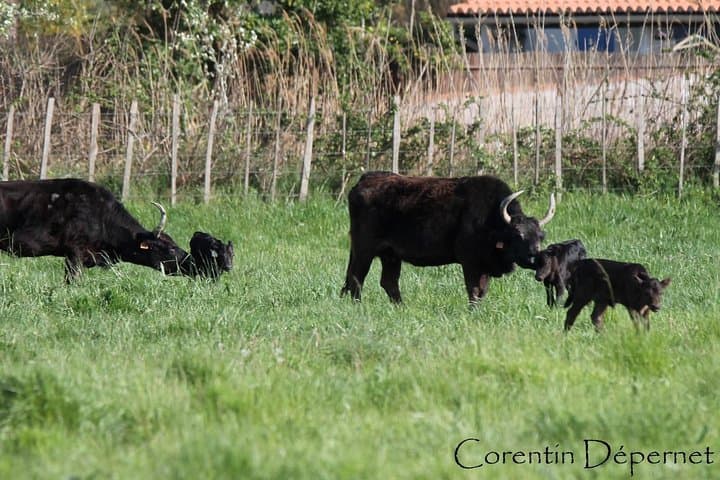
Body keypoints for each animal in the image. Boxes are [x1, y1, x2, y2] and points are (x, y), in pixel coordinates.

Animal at [340, 172, 556, 304]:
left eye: (541, 236)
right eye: (518, 235)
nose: (534, 258)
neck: (491, 220)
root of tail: (363, 181)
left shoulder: (484, 266)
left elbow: (482, 292)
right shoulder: (470, 263)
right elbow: (474, 290)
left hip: (390, 255)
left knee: (388, 282)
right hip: (364, 250)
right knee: (356, 278)